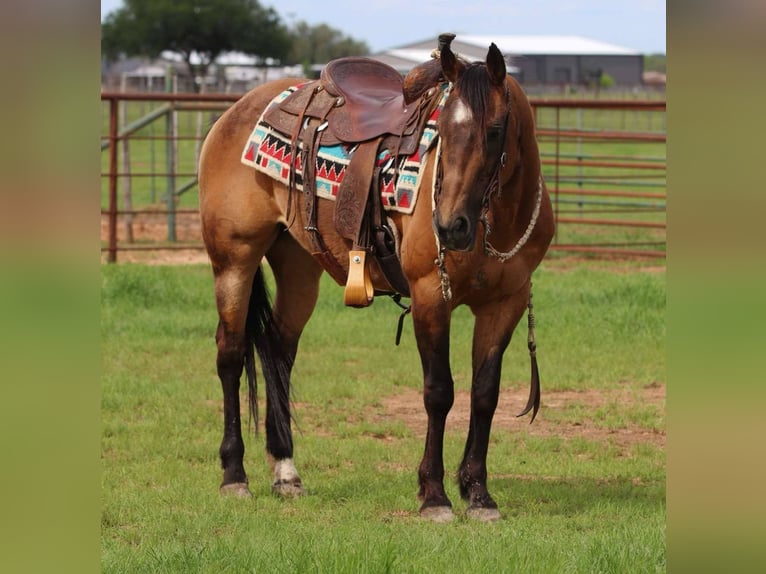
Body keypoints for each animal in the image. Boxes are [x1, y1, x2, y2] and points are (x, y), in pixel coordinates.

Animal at [198, 35, 554, 522]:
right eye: (444, 132)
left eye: (496, 130)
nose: (451, 226)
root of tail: (237, 111)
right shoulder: (430, 296)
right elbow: (439, 392)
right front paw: (434, 495)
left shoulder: (506, 303)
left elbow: (485, 394)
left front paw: (478, 494)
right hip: (234, 260)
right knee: (231, 355)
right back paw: (234, 475)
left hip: (298, 266)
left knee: (279, 352)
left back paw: (286, 471)